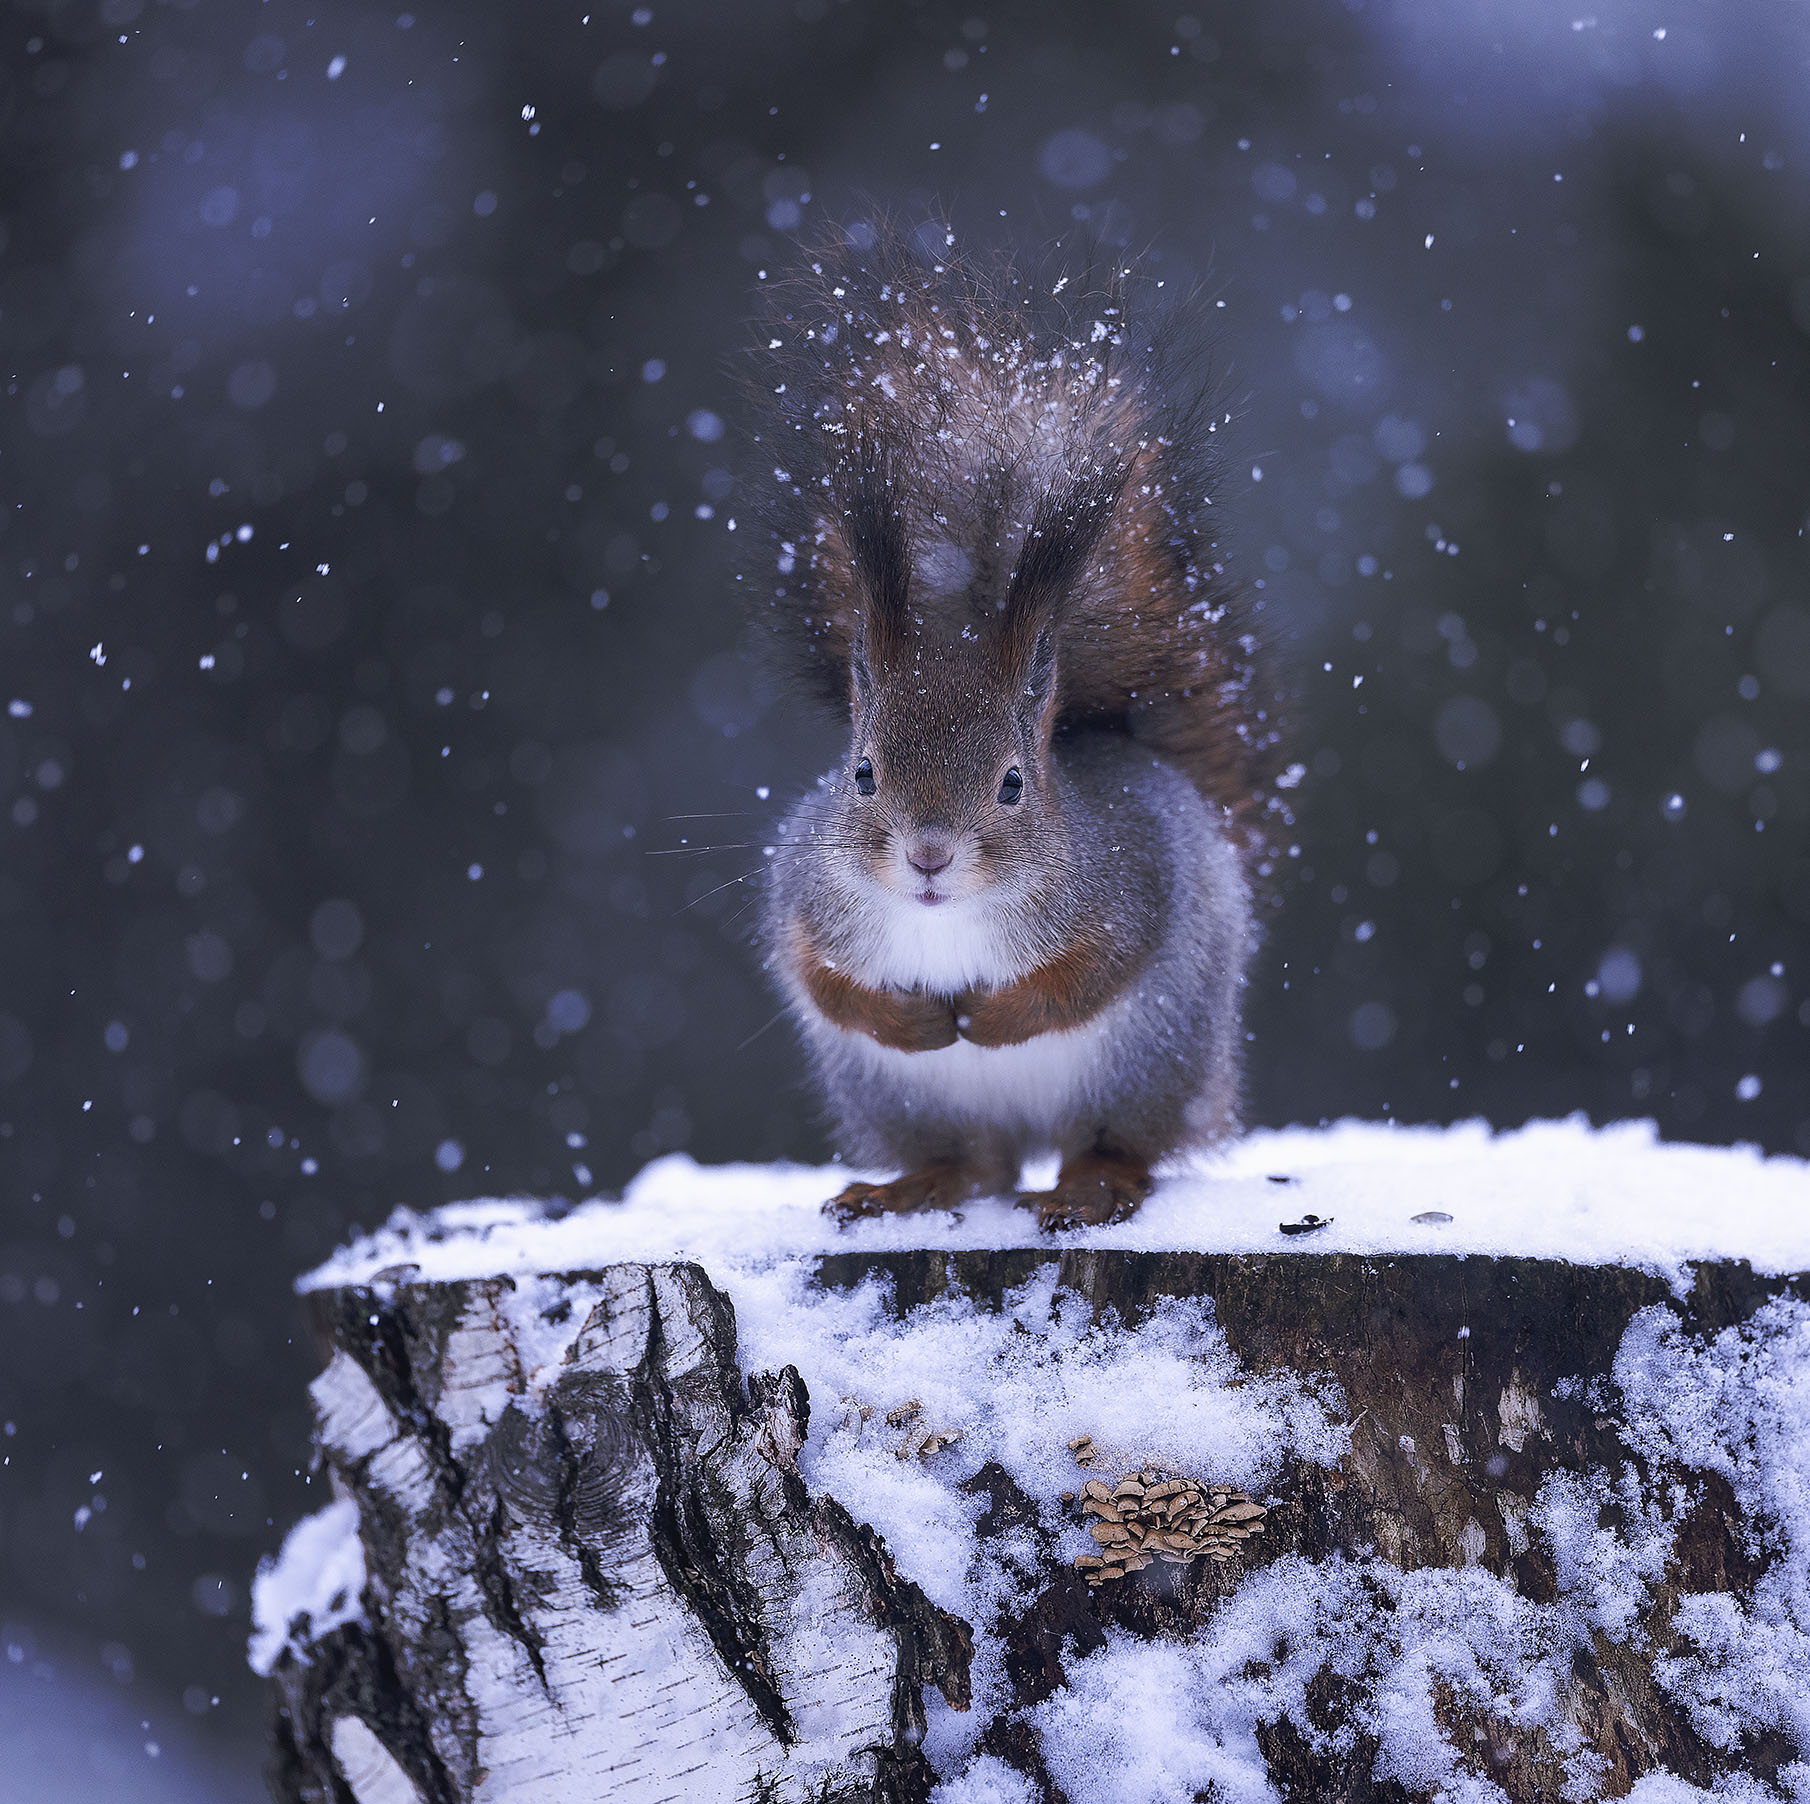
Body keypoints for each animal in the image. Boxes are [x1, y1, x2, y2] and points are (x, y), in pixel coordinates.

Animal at [742, 225, 1281, 1230]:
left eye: (1012, 784)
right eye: (862, 773)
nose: (928, 856)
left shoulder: (1135, 881)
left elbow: (1094, 971)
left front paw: (990, 1018)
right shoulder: (801, 889)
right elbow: (815, 975)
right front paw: (912, 1018)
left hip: (1148, 1067)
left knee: (1108, 1146)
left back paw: (1088, 1189)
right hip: (899, 1099)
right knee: (973, 1165)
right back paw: (901, 1190)